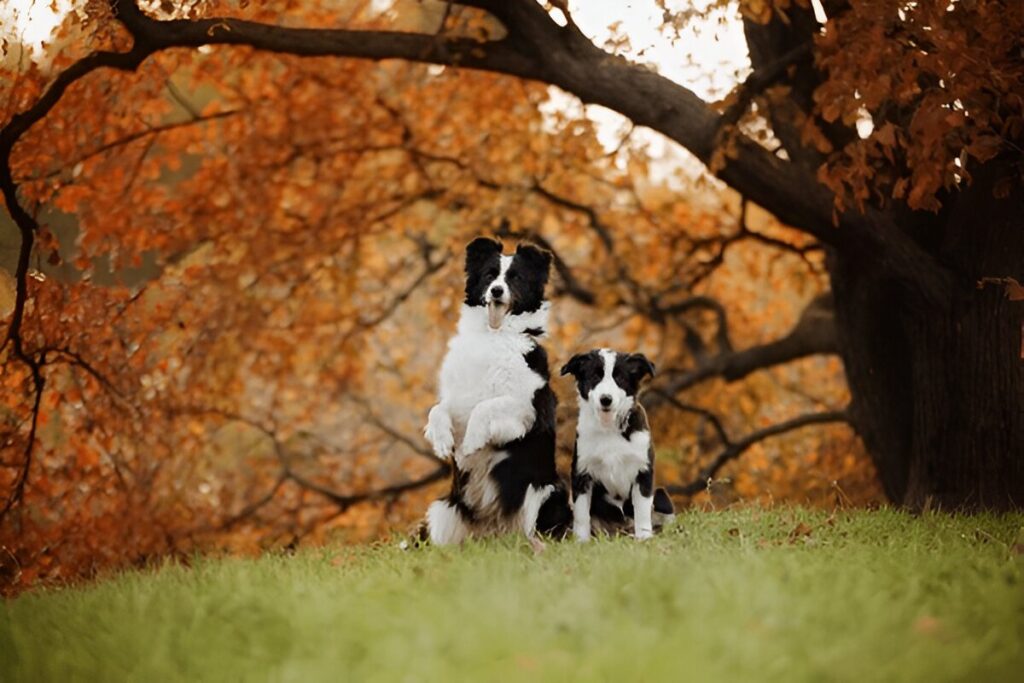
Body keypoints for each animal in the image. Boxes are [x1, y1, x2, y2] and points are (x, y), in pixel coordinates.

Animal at [419, 237, 573, 548]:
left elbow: (486, 407)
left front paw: (472, 443)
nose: (497, 290)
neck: (493, 334)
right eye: (490, 275)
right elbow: (438, 409)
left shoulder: (526, 409)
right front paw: (442, 441)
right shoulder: (458, 401)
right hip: (444, 508)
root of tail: (494, 530)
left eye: (515, 278)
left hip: (545, 493)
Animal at [561, 350, 671, 540]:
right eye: (594, 377)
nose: (606, 399)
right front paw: (581, 541)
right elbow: (581, 514)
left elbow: (642, 510)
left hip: (661, 495)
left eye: (620, 378)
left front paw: (644, 538)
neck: (609, 427)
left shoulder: (643, 471)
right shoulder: (581, 472)